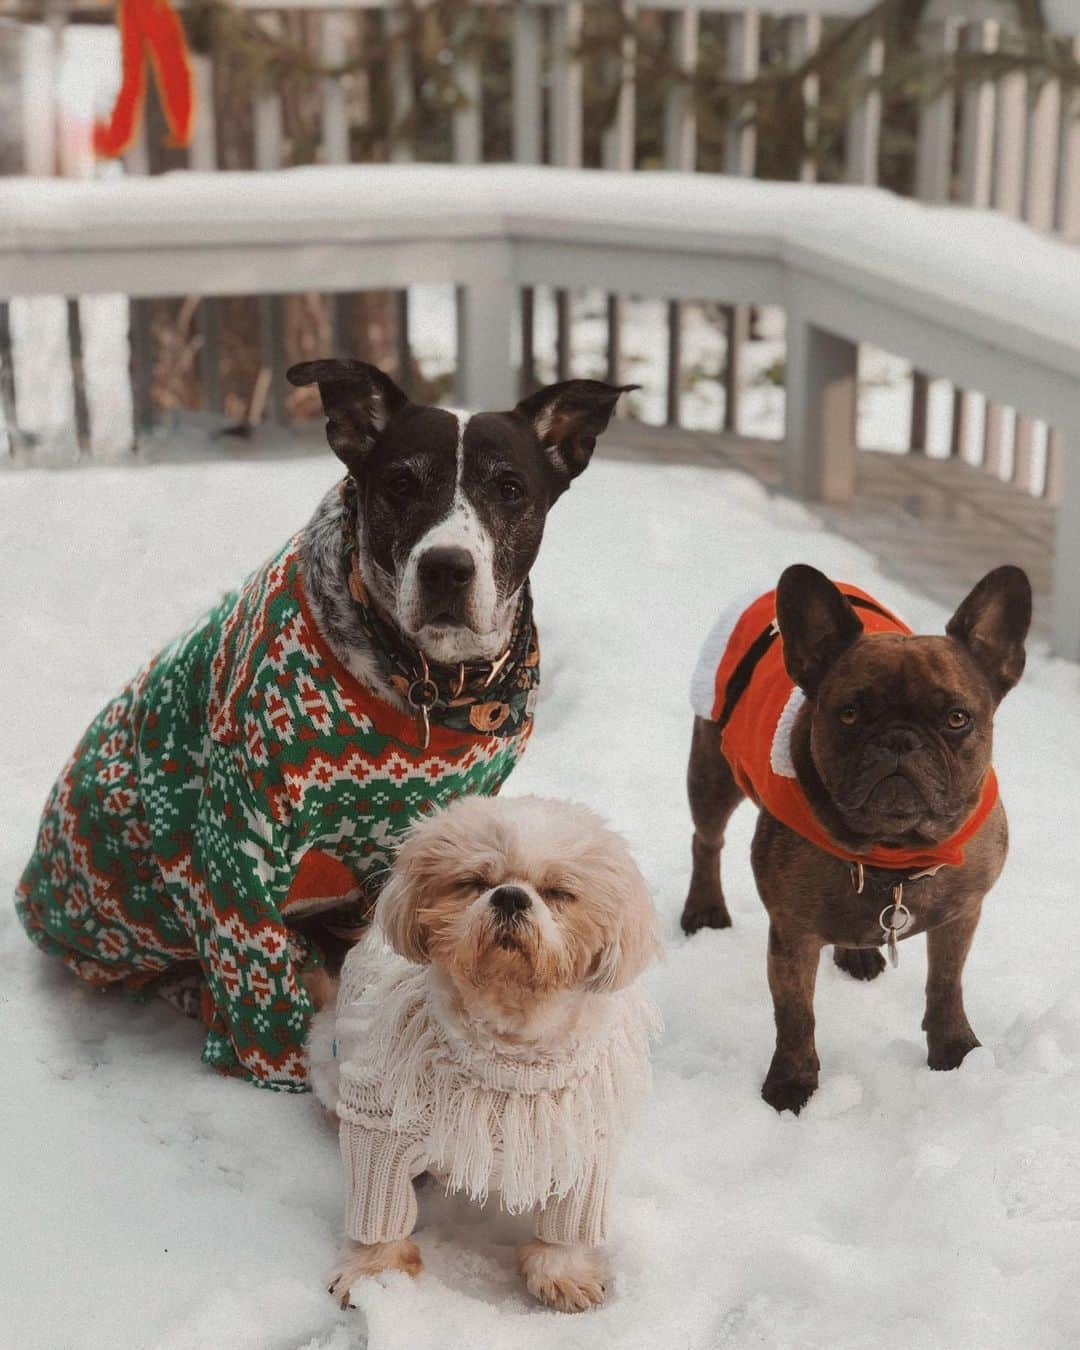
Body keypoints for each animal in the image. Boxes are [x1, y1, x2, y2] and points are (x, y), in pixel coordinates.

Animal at [303, 793, 658, 1312]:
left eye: (558, 892)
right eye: (474, 882)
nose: (510, 896)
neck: (509, 1045)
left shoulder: (583, 1140)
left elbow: (568, 1225)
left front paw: (563, 1271)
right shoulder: (381, 1130)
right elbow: (378, 1215)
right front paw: (373, 1274)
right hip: (328, 1059)